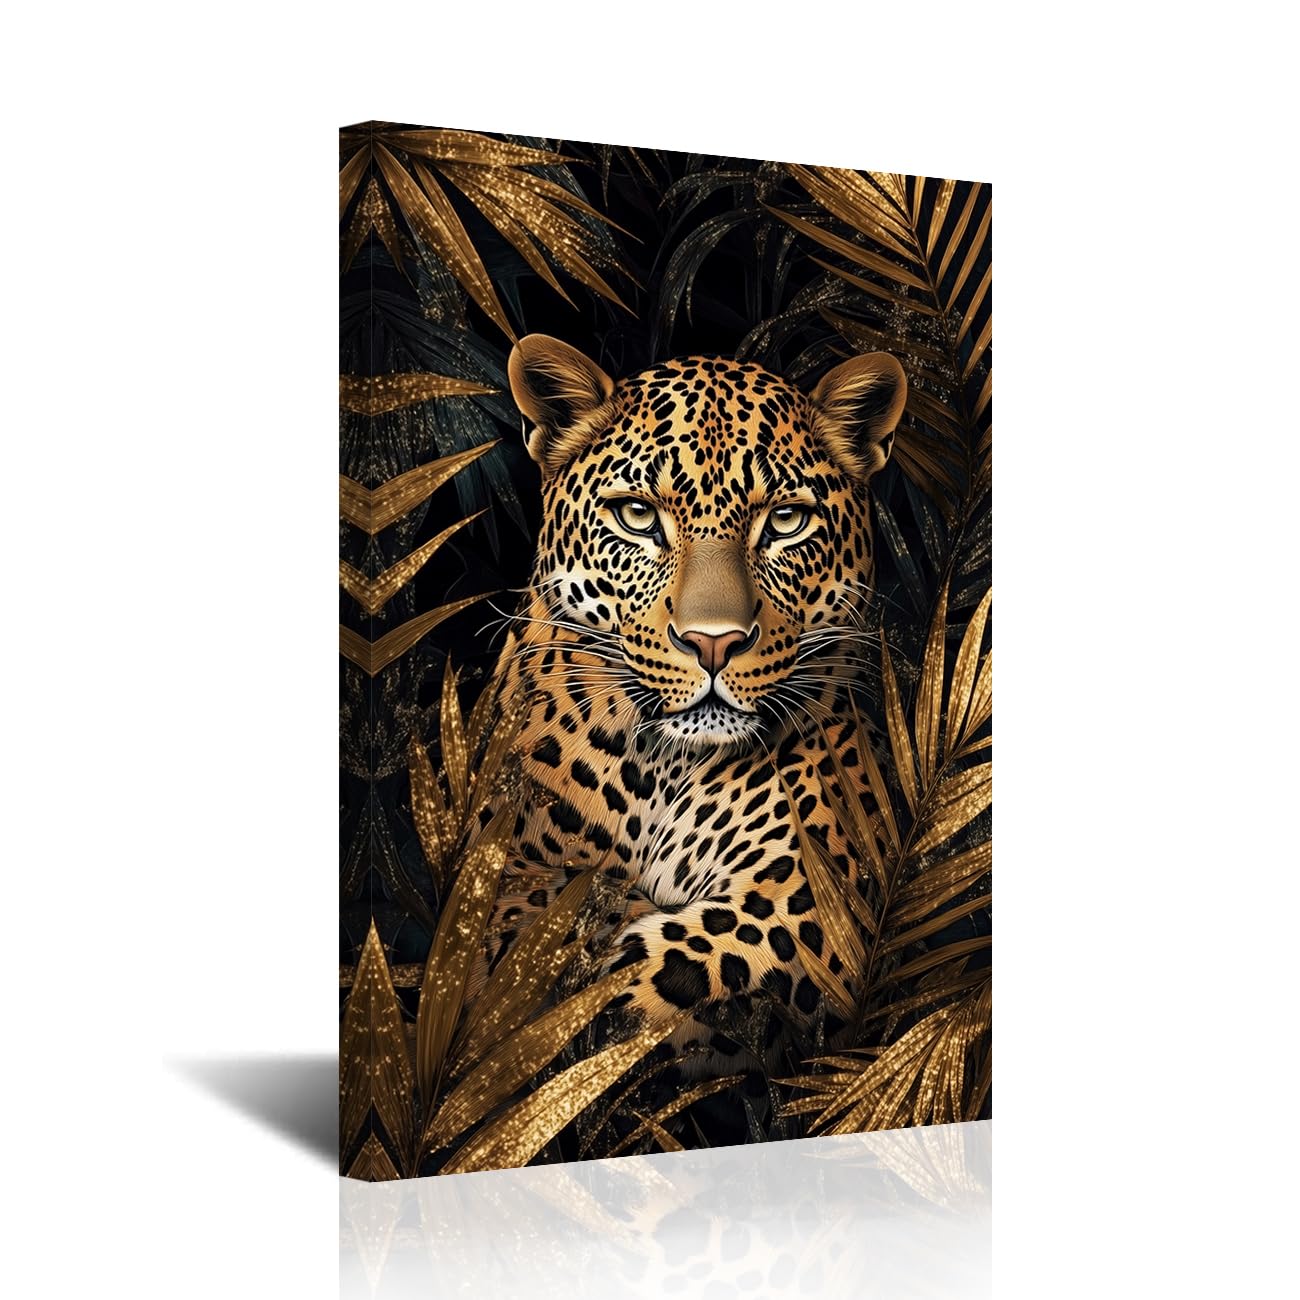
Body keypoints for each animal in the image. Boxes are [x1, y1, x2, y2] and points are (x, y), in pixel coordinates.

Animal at [474, 332, 907, 1073]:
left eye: (785, 521)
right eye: (638, 515)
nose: (713, 642)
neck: (665, 769)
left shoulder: (818, 893)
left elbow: (657, 973)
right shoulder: (501, 855)